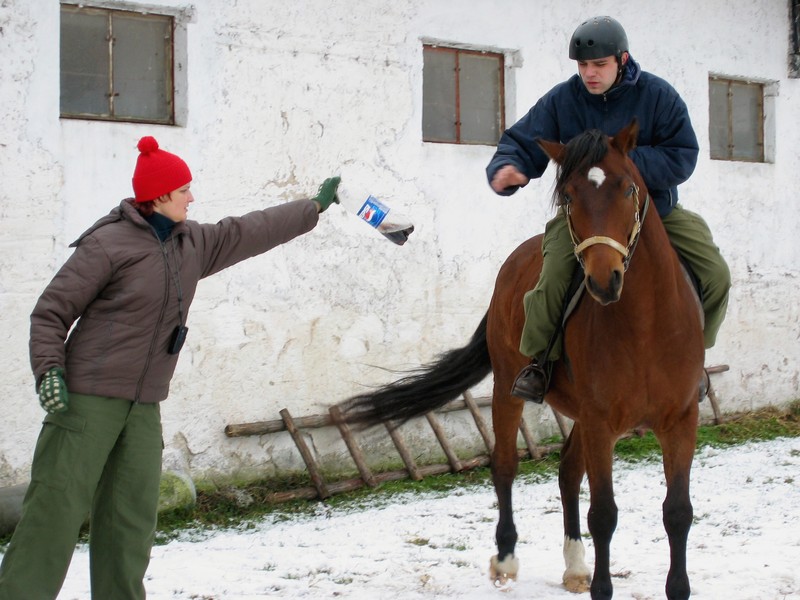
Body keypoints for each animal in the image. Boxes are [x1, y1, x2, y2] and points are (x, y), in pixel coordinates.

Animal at [338, 120, 704, 600]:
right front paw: (601, 587)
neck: (644, 323)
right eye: (568, 196)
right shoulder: (601, 422)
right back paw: (507, 557)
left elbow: (677, 512)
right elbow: (603, 515)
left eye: (628, 189)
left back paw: (574, 566)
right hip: (509, 389)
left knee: (568, 471)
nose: (603, 281)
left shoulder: (679, 420)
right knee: (506, 465)